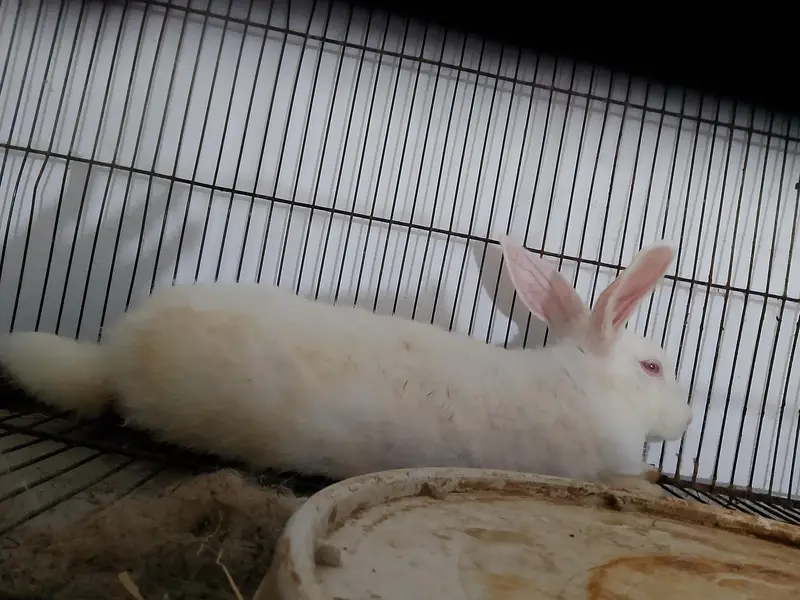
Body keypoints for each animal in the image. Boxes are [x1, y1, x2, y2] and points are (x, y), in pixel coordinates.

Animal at [0, 236, 692, 490]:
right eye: (653, 367)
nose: (687, 419)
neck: (588, 384)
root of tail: (111, 358)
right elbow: (626, 475)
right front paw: (652, 474)